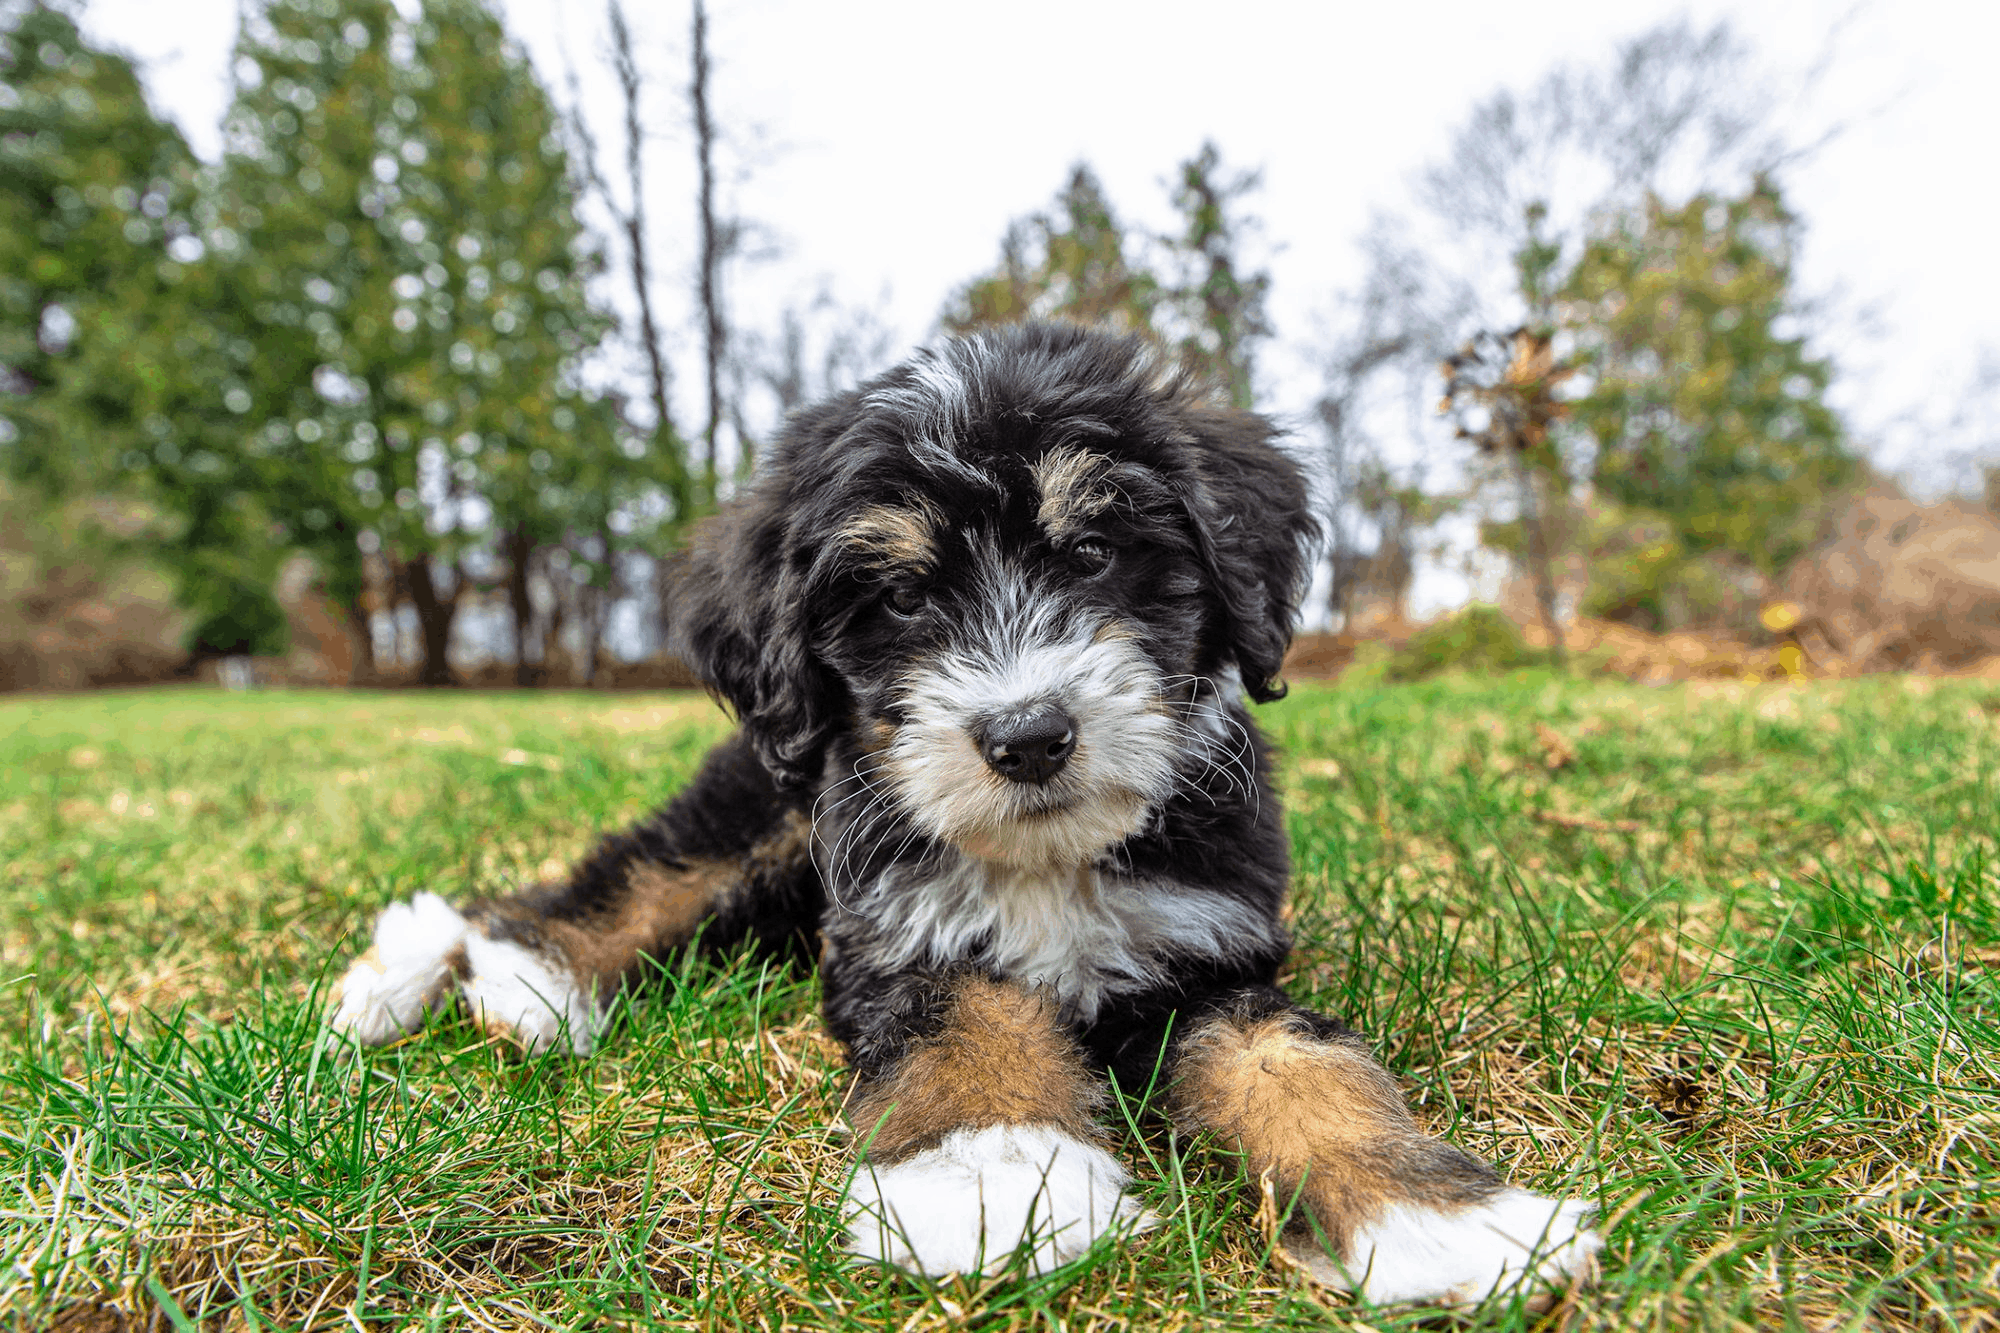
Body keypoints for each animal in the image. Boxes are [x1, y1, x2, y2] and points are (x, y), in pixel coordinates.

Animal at [336, 320, 1600, 1296]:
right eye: (898, 599)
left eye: (1092, 553)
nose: (1027, 736)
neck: (1046, 859)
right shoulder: (901, 932)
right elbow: (972, 1020)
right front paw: (1000, 1175)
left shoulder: (1209, 949)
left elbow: (1305, 1064)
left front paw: (1437, 1215)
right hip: (772, 800)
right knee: (635, 873)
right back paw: (488, 971)